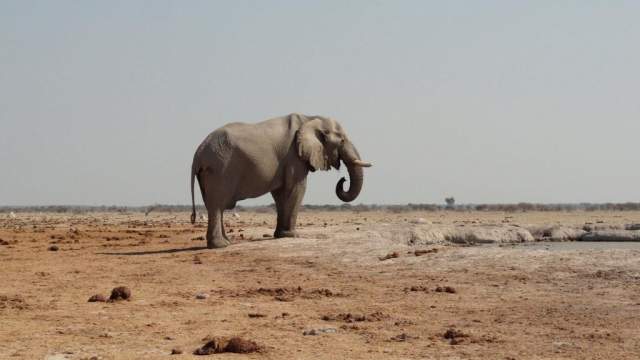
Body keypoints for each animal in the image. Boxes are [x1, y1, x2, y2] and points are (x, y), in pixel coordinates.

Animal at [189, 114, 370, 249]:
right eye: (342, 140)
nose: (343, 179)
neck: (311, 118)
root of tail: (198, 153)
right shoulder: (293, 156)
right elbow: (297, 188)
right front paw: (292, 235)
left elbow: (280, 193)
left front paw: (280, 235)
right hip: (220, 169)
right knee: (217, 205)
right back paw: (220, 246)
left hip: (209, 173)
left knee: (214, 205)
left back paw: (226, 243)